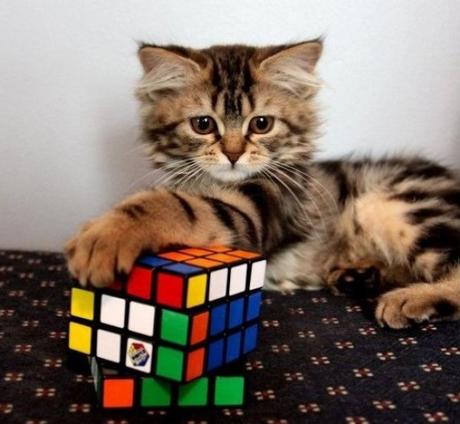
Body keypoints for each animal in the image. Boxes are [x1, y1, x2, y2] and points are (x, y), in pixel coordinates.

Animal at [65, 40, 460, 332]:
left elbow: (172, 204)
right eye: (203, 124)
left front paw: (105, 237)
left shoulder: (259, 206)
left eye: (262, 124)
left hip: (398, 203)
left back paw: (406, 298)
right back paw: (359, 275)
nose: (233, 154)